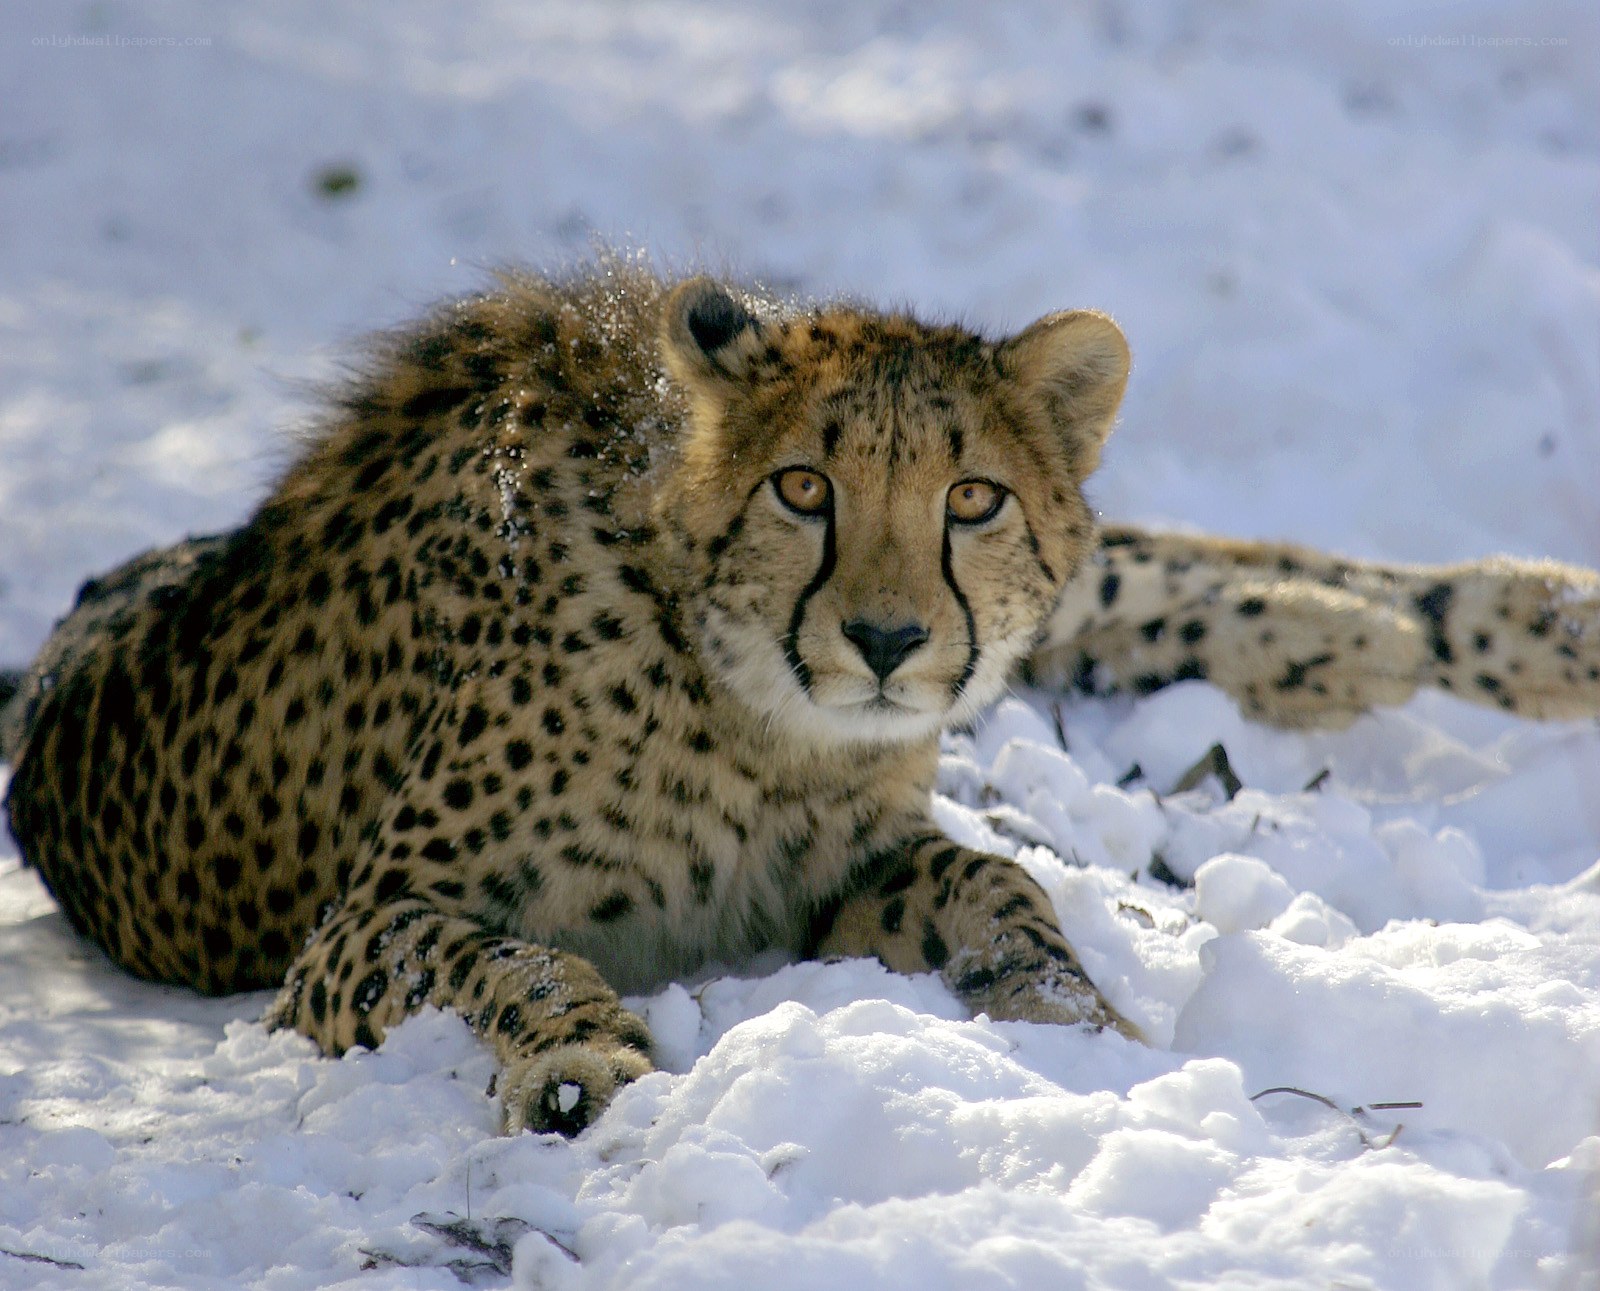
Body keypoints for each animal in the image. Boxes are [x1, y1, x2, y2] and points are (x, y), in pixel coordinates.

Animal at [3, 259, 1598, 1137]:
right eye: (804, 487)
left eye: (970, 497)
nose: (888, 638)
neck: (735, 686)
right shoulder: (357, 927)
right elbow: (508, 955)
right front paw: (575, 1066)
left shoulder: (846, 856)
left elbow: (1000, 881)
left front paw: (1073, 1017)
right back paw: (1375, 638)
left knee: (1148, 564)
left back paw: (1507, 616)